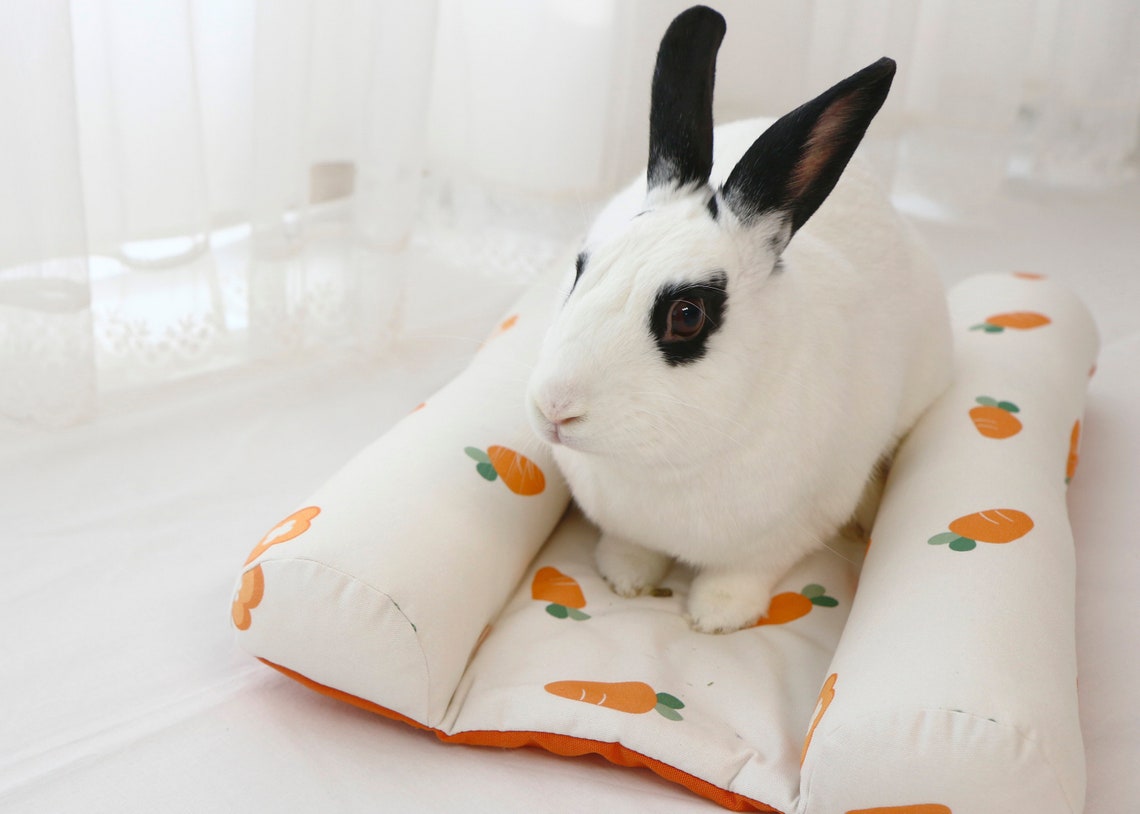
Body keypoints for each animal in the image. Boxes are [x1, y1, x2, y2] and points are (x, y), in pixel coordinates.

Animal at [526, 5, 953, 633]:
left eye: (686, 316)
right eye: (581, 267)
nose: (555, 409)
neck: (663, 464)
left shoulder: (783, 535)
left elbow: (742, 574)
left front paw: (716, 617)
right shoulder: (627, 521)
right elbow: (632, 546)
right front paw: (624, 579)